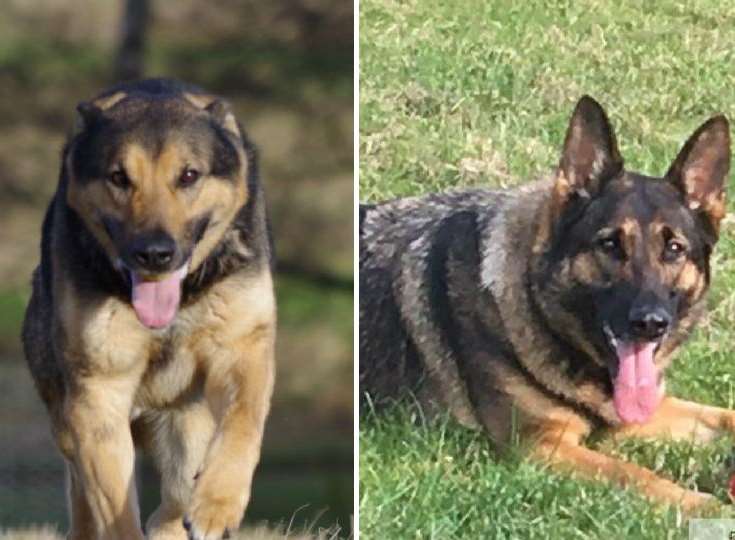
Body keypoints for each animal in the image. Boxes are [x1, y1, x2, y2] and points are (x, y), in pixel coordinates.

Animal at [23, 77, 276, 540]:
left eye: (189, 175)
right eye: (119, 177)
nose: (155, 254)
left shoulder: (242, 348)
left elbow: (242, 422)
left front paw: (217, 504)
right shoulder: (97, 393)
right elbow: (115, 507)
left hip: (185, 418)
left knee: (176, 489)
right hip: (66, 415)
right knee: (85, 494)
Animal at [360, 96, 735, 510]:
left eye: (674, 249)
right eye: (609, 244)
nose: (651, 323)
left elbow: (724, 416)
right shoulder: (542, 446)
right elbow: (632, 473)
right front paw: (709, 506)